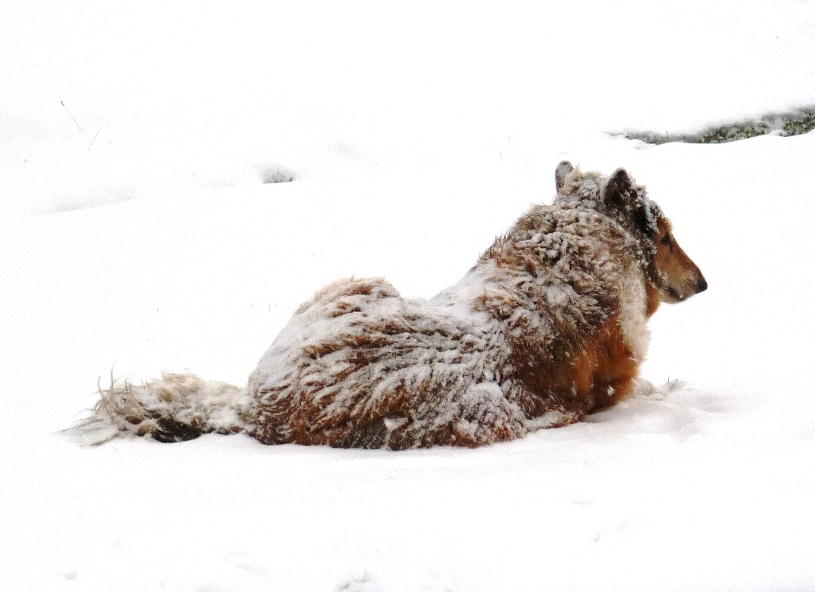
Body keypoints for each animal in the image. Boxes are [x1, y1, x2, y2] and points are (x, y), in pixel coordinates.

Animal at [76, 162, 708, 448]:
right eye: (667, 236)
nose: (704, 283)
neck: (569, 249)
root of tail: (255, 408)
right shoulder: (615, 387)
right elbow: (647, 387)